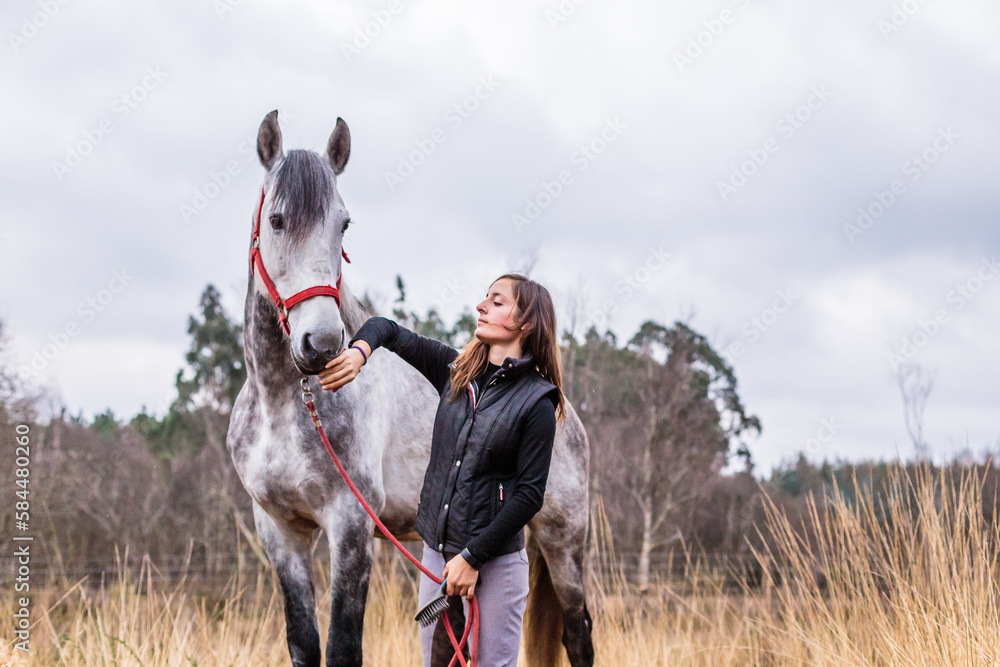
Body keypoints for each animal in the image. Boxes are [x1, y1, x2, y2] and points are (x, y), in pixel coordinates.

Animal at [226, 109, 594, 667]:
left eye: (343, 224)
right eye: (276, 220)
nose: (323, 342)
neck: (281, 405)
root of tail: (563, 411)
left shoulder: (351, 525)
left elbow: (342, 646)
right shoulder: (279, 529)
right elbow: (304, 644)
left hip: (562, 540)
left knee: (578, 634)